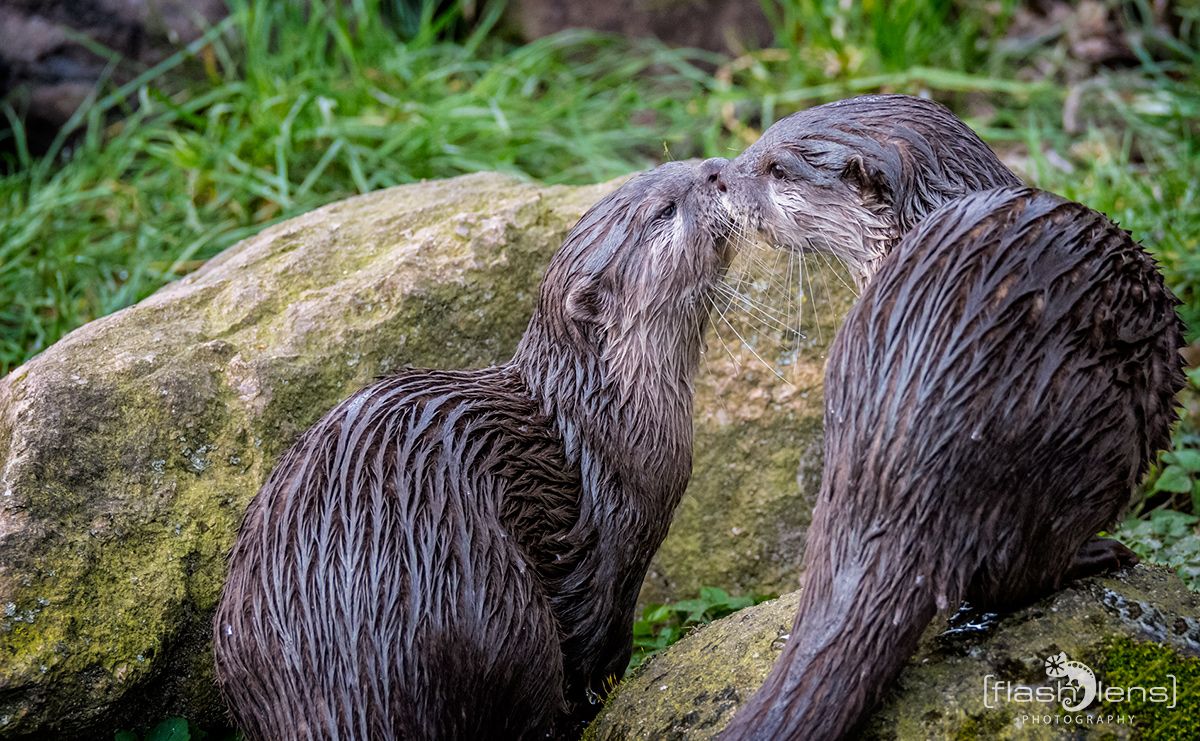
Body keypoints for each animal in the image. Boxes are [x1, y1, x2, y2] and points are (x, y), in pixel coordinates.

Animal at [212, 157, 729, 738]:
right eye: (664, 210)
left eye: (671, 165)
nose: (717, 169)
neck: (601, 413)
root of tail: (351, 673)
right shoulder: (614, 533)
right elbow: (595, 633)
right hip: (501, 611)